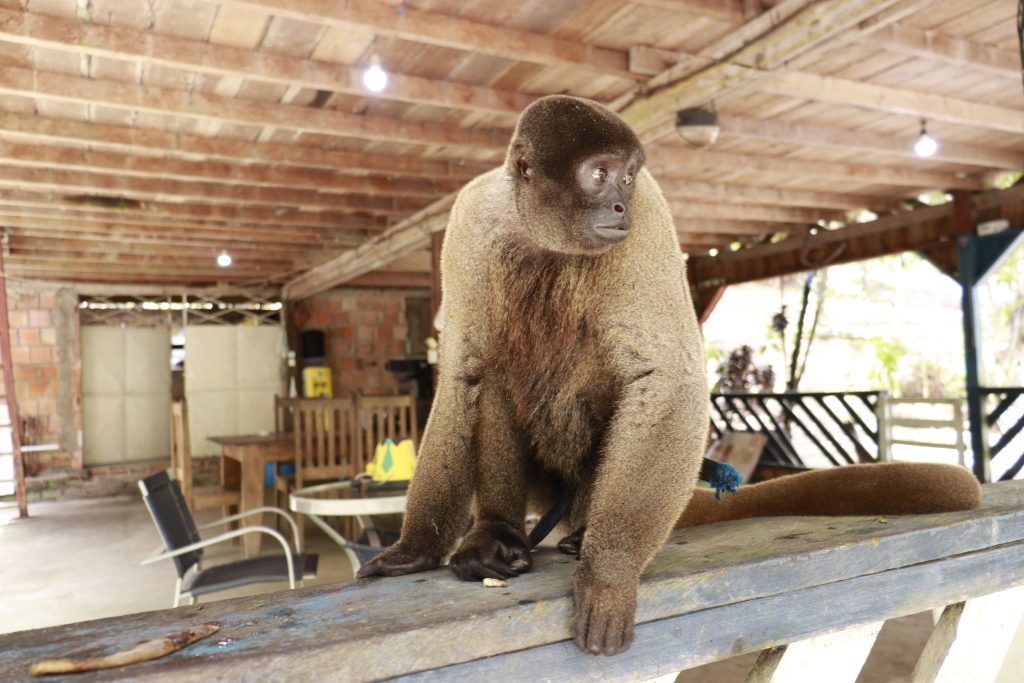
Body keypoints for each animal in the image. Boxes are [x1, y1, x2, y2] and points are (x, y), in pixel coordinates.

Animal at [357, 95, 982, 656]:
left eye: (629, 178)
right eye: (599, 175)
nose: (618, 207)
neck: (538, 232)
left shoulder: (650, 216)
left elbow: (666, 377)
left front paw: (608, 574)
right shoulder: (470, 224)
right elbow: (463, 373)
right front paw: (416, 547)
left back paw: (583, 538)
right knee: (497, 374)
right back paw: (497, 536)